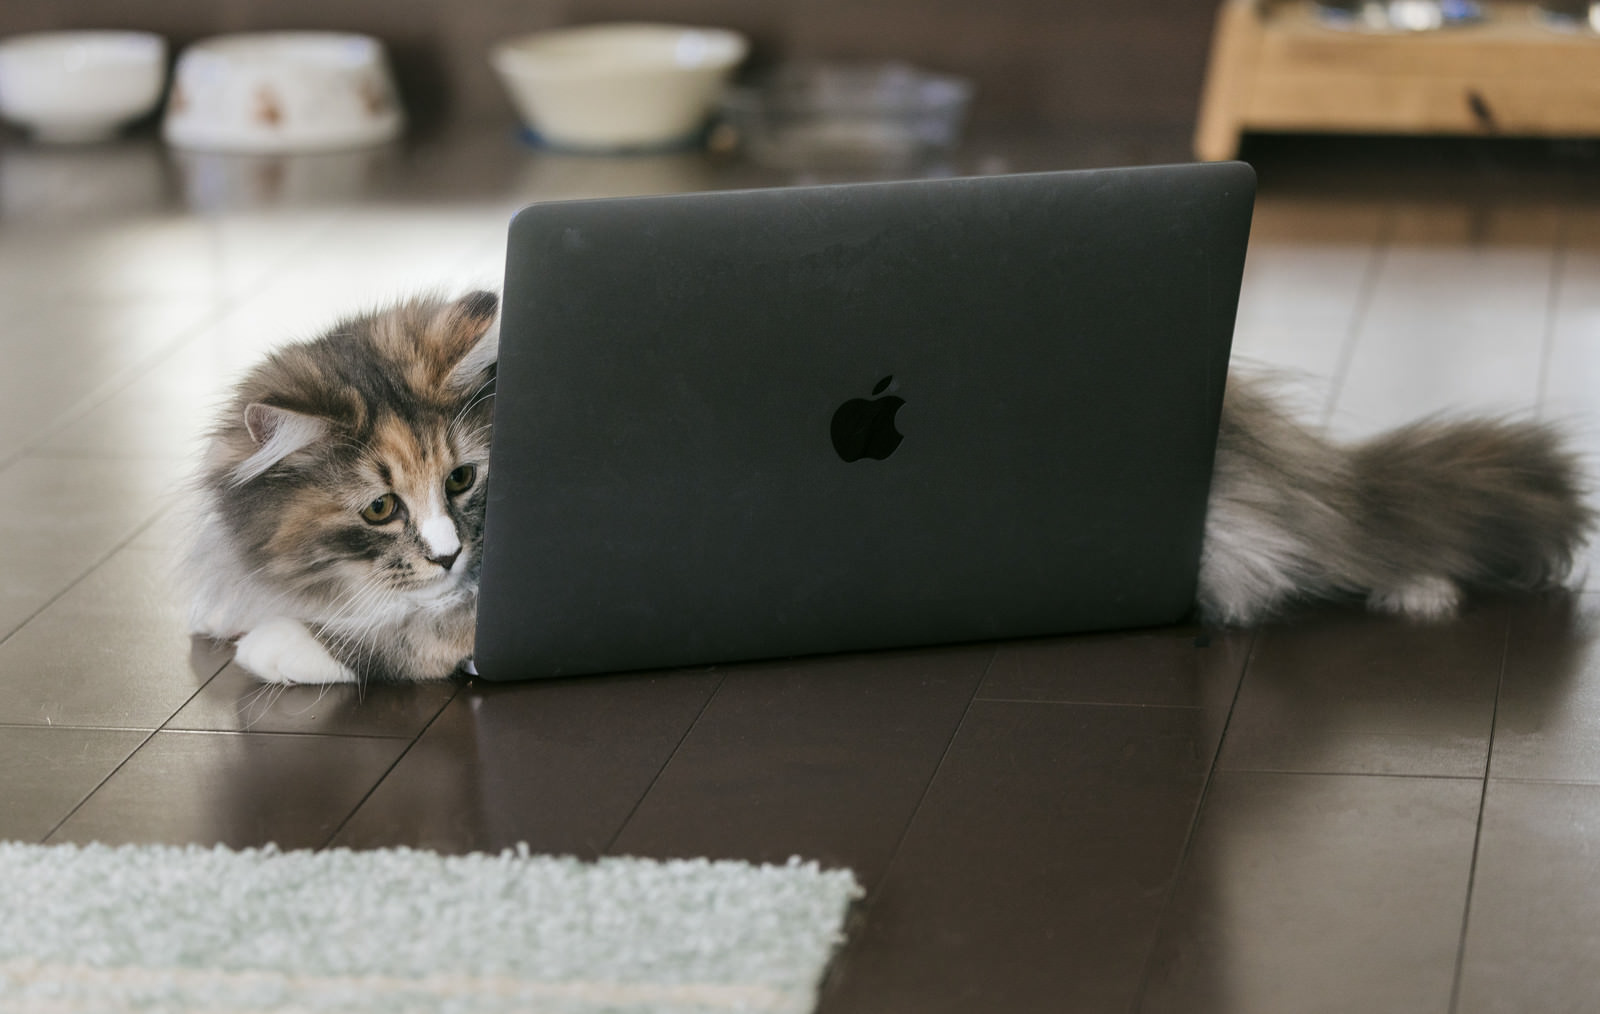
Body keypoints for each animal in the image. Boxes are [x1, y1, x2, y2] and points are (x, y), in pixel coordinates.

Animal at [184, 294, 1587, 687]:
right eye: (380, 507)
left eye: (466, 483)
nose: (445, 553)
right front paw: (234, 623)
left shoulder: (473, 627)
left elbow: (351, 646)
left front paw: (281, 647)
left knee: (1338, 546)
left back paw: (1417, 589)